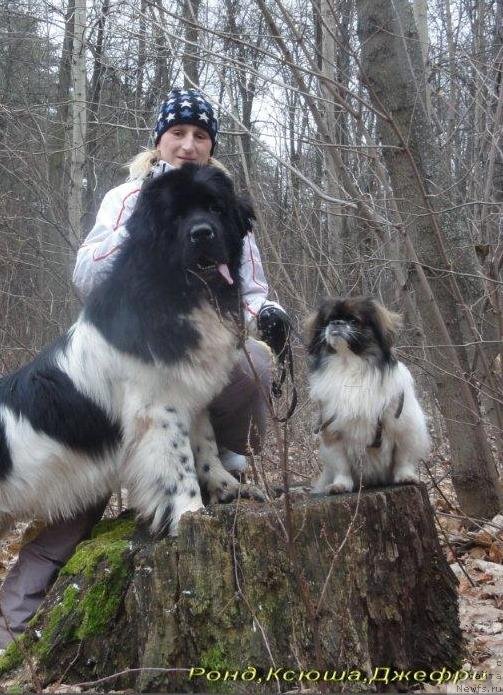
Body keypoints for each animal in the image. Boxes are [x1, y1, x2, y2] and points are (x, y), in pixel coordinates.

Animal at [0, 164, 262, 540]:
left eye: (215, 208)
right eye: (176, 216)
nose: (201, 233)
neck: (178, 296)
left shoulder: (190, 397)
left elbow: (205, 446)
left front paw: (228, 489)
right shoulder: (157, 411)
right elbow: (179, 465)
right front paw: (191, 514)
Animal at [306, 298, 432, 494]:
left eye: (354, 320)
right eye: (328, 320)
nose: (336, 323)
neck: (350, 366)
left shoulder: (405, 427)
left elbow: (403, 457)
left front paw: (405, 476)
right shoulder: (332, 432)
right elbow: (341, 464)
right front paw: (341, 485)